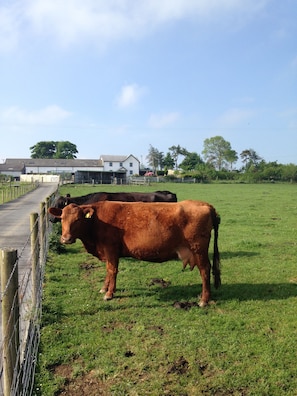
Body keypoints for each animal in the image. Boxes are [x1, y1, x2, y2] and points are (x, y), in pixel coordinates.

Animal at [48, 201, 220, 306]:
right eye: (61, 218)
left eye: (78, 219)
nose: (65, 239)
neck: (96, 222)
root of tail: (205, 205)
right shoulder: (109, 252)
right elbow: (109, 270)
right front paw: (105, 288)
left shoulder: (111, 249)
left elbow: (112, 270)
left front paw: (109, 293)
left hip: (199, 249)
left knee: (205, 270)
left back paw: (204, 300)